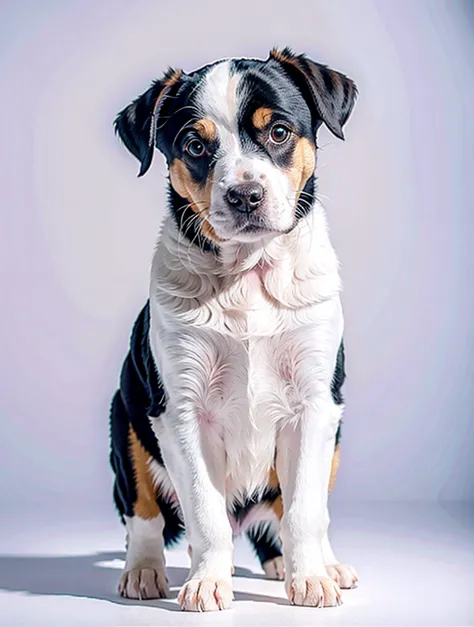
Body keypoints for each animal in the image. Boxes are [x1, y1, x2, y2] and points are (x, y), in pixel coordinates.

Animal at [109, 49, 358, 612]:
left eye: (279, 132)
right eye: (195, 145)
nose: (245, 195)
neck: (249, 277)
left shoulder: (315, 402)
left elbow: (305, 510)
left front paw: (311, 579)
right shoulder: (181, 411)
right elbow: (205, 513)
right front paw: (207, 583)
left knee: (296, 512)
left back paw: (321, 564)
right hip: (126, 418)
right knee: (144, 514)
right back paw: (143, 572)